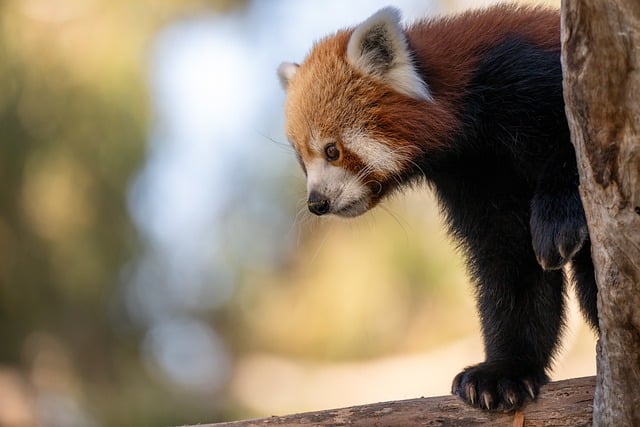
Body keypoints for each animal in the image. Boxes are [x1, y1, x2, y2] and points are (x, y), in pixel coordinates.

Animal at [278, 5, 596, 414]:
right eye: (303, 162)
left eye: (332, 150)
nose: (317, 203)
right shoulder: (475, 174)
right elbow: (509, 257)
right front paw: (506, 370)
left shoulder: (529, 78)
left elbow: (576, 154)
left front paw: (556, 222)